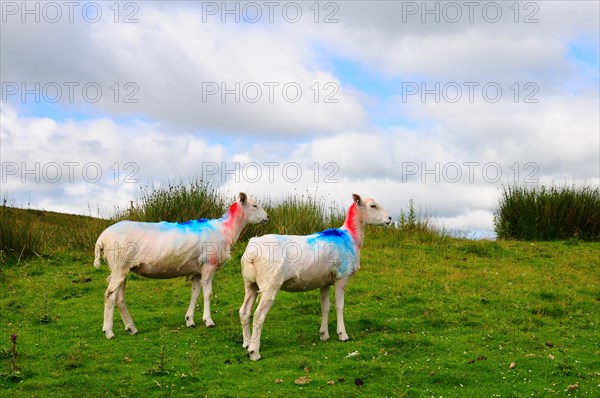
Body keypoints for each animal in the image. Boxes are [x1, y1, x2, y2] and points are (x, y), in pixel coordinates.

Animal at [93, 193, 268, 338]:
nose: (267, 217)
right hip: (119, 266)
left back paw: (131, 328)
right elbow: (208, 293)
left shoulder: (197, 270)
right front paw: (208, 320)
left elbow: (195, 294)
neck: (225, 229)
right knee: (109, 296)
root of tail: (101, 238)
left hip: (122, 268)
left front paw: (190, 320)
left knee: (119, 298)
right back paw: (109, 332)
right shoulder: (208, 266)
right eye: (254, 205)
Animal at [240, 193, 394, 360]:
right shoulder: (341, 276)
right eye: (373, 206)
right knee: (258, 315)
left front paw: (324, 334)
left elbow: (325, 306)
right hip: (270, 284)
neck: (351, 237)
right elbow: (340, 306)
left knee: (244, 312)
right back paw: (254, 352)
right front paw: (343, 335)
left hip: (250, 283)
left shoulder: (324, 281)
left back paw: (246, 344)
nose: (390, 218)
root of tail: (252, 249)